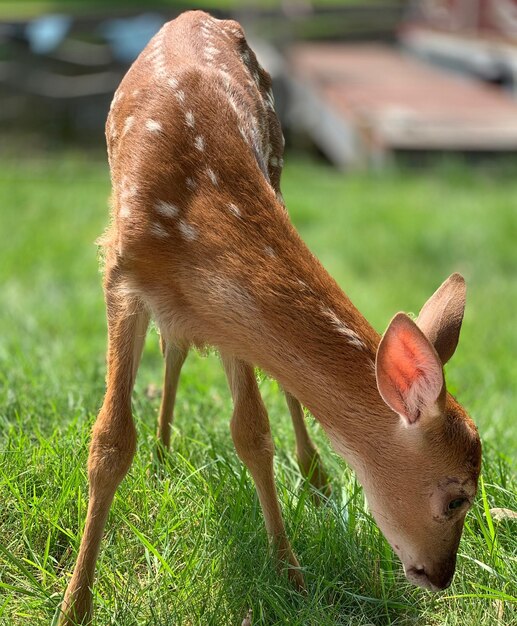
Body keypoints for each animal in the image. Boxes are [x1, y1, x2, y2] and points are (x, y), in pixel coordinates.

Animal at [58, 11, 482, 624]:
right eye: (456, 497)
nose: (441, 576)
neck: (194, 209)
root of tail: (196, 15)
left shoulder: (225, 313)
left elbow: (253, 435)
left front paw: (291, 577)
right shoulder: (120, 270)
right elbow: (110, 442)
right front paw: (75, 602)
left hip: (279, 167)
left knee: (246, 376)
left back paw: (316, 477)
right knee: (173, 347)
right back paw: (162, 453)